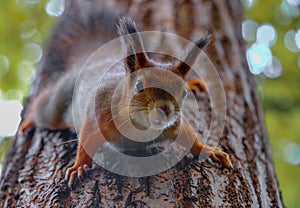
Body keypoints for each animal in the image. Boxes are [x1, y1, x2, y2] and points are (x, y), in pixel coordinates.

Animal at [19, 3, 233, 188]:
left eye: (183, 93)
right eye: (138, 85)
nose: (165, 109)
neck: (142, 128)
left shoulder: (174, 125)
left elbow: (189, 137)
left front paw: (207, 150)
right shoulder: (99, 111)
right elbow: (86, 140)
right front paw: (78, 165)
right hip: (57, 105)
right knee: (43, 107)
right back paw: (29, 119)